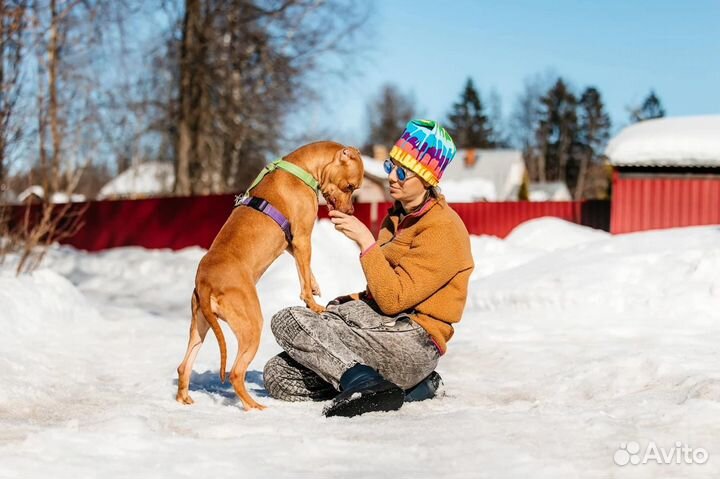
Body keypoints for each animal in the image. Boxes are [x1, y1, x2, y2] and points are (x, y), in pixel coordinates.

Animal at [175, 142, 366, 412]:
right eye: (350, 187)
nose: (350, 211)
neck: (301, 169)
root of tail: (205, 282)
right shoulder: (302, 237)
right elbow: (303, 278)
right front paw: (314, 305)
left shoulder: (291, 244)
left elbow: (305, 270)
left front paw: (315, 285)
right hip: (251, 326)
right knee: (236, 372)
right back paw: (254, 407)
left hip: (199, 325)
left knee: (184, 366)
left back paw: (184, 399)